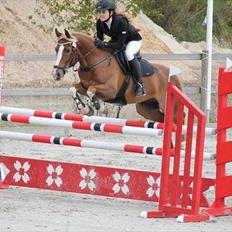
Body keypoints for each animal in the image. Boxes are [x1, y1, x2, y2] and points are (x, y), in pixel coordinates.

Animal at [52, 28, 183, 123]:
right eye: (56, 49)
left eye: (68, 50)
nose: (56, 74)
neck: (94, 63)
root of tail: (173, 76)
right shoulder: (83, 85)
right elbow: (73, 89)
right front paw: (85, 109)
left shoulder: (110, 91)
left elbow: (91, 90)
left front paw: (99, 107)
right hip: (146, 108)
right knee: (161, 119)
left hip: (168, 106)